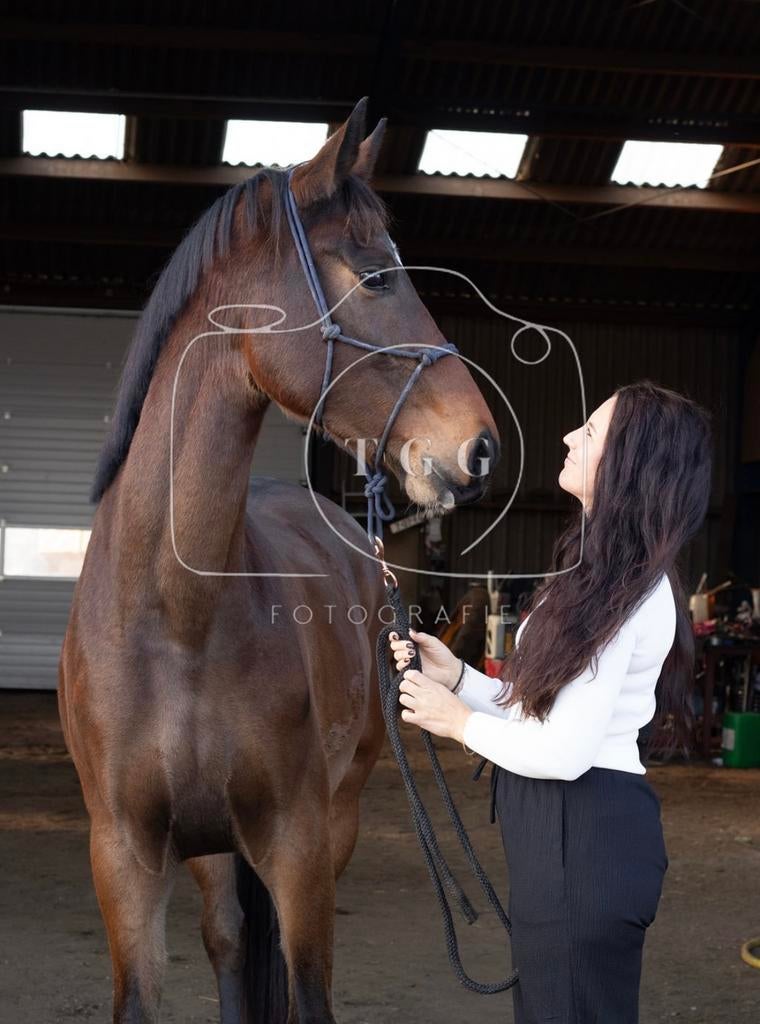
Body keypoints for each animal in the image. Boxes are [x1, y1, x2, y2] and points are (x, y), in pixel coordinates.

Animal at [58, 98, 500, 1024]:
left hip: (333, 819)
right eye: (376, 277)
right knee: (228, 945)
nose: (479, 447)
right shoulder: (125, 859)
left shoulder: (297, 846)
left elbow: (309, 991)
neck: (174, 618)